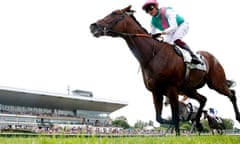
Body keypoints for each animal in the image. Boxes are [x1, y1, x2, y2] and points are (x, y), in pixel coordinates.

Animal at [90, 5, 240, 136]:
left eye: (115, 13)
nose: (93, 26)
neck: (152, 55)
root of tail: (212, 58)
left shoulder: (171, 89)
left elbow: (174, 116)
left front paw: (178, 133)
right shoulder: (156, 91)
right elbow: (160, 118)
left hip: (217, 83)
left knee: (231, 94)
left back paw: (237, 117)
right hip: (189, 89)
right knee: (203, 99)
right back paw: (198, 123)